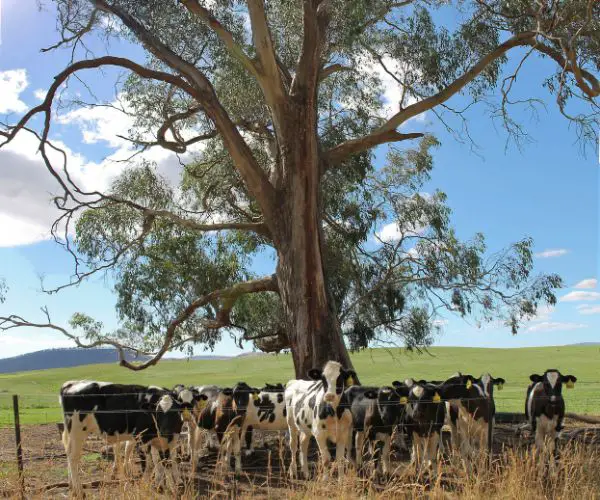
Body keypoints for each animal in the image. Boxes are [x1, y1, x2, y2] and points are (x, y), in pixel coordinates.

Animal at [58, 380, 190, 494]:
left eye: (176, 412)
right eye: (158, 413)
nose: (165, 432)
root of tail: (71, 383)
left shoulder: (165, 440)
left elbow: (164, 461)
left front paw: (164, 485)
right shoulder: (142, 439)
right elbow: (149, 465)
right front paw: (147, 486)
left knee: (69, 454)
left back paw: (71, 486)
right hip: (77, 432)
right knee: (73, 458)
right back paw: (79, 491)